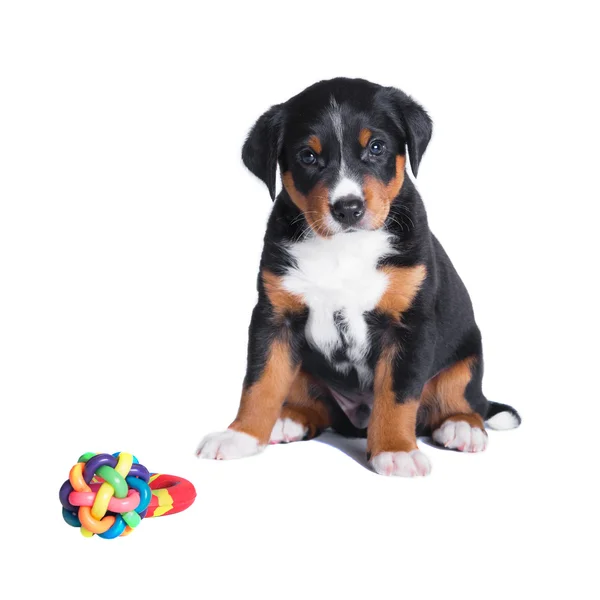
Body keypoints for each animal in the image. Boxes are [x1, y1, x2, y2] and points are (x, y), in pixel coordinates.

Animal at [198, 77, 520, 476]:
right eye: (308, 156)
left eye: (376, 147)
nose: (348, 207)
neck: (343, 249)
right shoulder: (274, 318)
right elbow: (260, 382)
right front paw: (240, 436)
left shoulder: (408, 325)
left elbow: (397, 395)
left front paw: (396, 450)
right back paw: (290, 419)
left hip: (467, 356)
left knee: (465, 399)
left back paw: (462, 427)